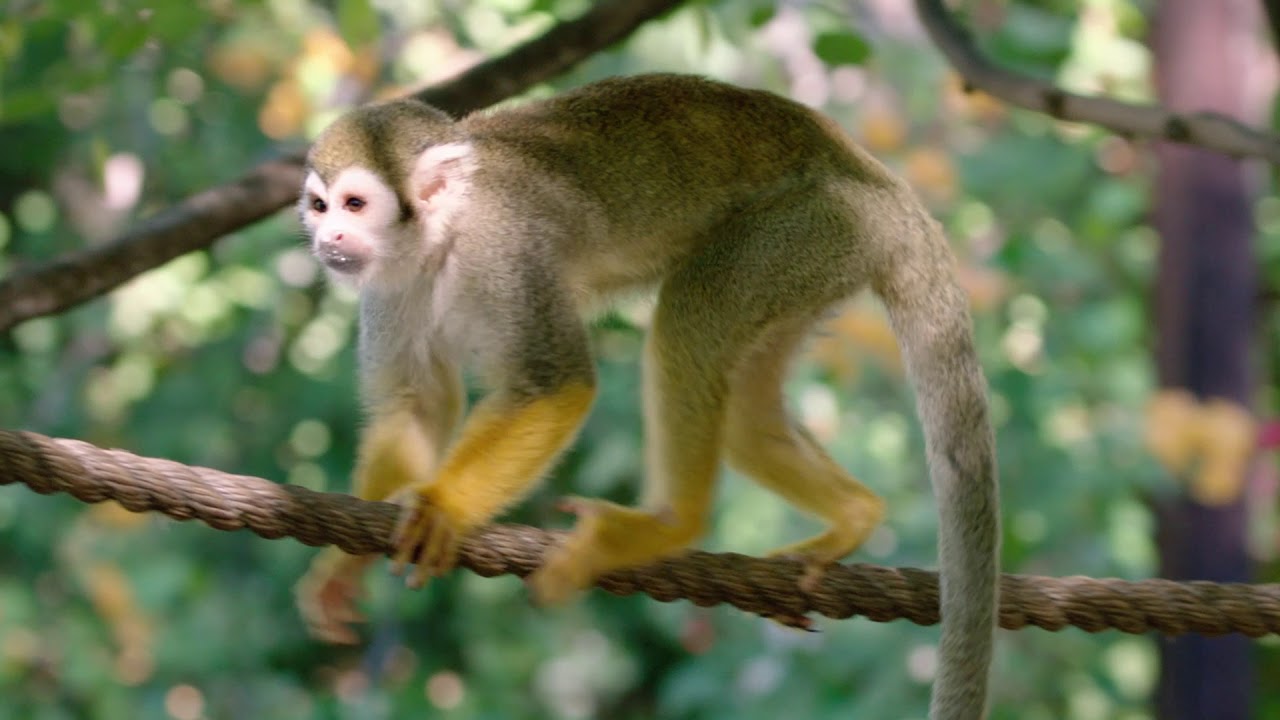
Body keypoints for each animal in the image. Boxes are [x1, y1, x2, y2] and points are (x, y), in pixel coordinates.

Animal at [293, 74, 999, 719]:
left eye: (355, 204)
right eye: (320, 206)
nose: (327, 241)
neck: (439, 239)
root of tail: (881, 183)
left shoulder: (505, 250)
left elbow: (558, 384)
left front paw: (442, 507)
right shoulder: (387, 285)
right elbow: (416, 403)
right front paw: (344, 568)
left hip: (812, 224)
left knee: (691, 311)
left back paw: (667, 526)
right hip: (820, 258)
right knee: (740, 402)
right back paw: (854, 514)